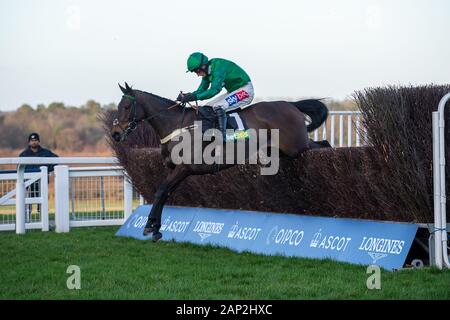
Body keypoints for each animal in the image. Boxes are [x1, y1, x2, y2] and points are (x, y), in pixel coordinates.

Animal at [110, 82, 328, 240]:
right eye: (118, 106)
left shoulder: (184, 168)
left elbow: (162, 190)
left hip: (296, 145)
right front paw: (155, 227)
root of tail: (291, 104)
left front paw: (149, 226)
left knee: (323, 145)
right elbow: (164, 193)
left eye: (127, 106)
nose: (115, 133)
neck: (177, 126)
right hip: (279, 150)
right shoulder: (175, 170)